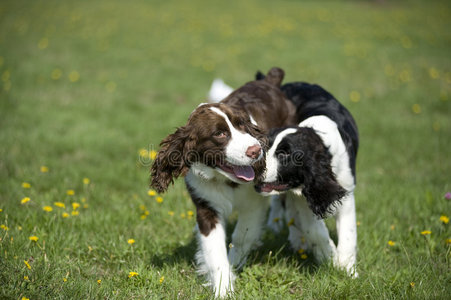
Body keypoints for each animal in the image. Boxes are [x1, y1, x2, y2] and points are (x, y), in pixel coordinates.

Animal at [150, 67, 294, 296]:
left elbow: (242, 236)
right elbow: (214, 250)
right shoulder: (206, 206)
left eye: (242, 126)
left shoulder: (253, 204)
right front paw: (223, 288)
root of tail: (269, 81)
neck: (224, 179)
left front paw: (234, 265)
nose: (256, 150)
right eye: (219, 133)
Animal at [258, 81, 360, 276]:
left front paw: (347, 269)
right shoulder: (301, 198)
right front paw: (328, 256)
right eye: (266, 146)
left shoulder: (346, 189)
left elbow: (348, 233)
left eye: (284, 154)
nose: (255, 165)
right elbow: (314, 229)